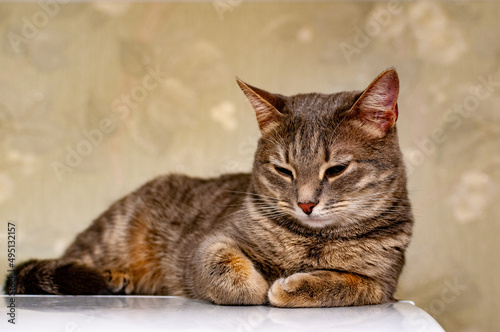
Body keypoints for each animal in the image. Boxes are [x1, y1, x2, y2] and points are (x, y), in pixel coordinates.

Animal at [4, 68, 414, 308]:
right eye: (283, 170)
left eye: (337, 169)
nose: (306, 204)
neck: (312, 242)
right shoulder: (208, 243)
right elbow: (227, 271)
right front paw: (260, 286)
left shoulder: (384, 284)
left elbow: (347, 284)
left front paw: (292, 286)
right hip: (111, 236)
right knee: (66, 260)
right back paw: (112, 277)